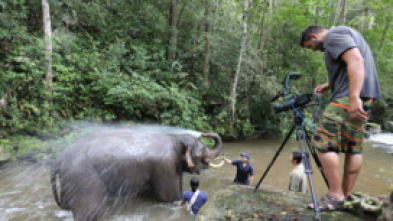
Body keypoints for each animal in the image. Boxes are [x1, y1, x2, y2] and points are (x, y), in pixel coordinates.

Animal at [49, 129, 220, 220]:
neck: (175, 137)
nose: (204, 133)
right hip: (84, 179)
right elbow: (169, 197)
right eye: (203, 149)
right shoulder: (165, 167)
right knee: (90, 210)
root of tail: (57, 161)